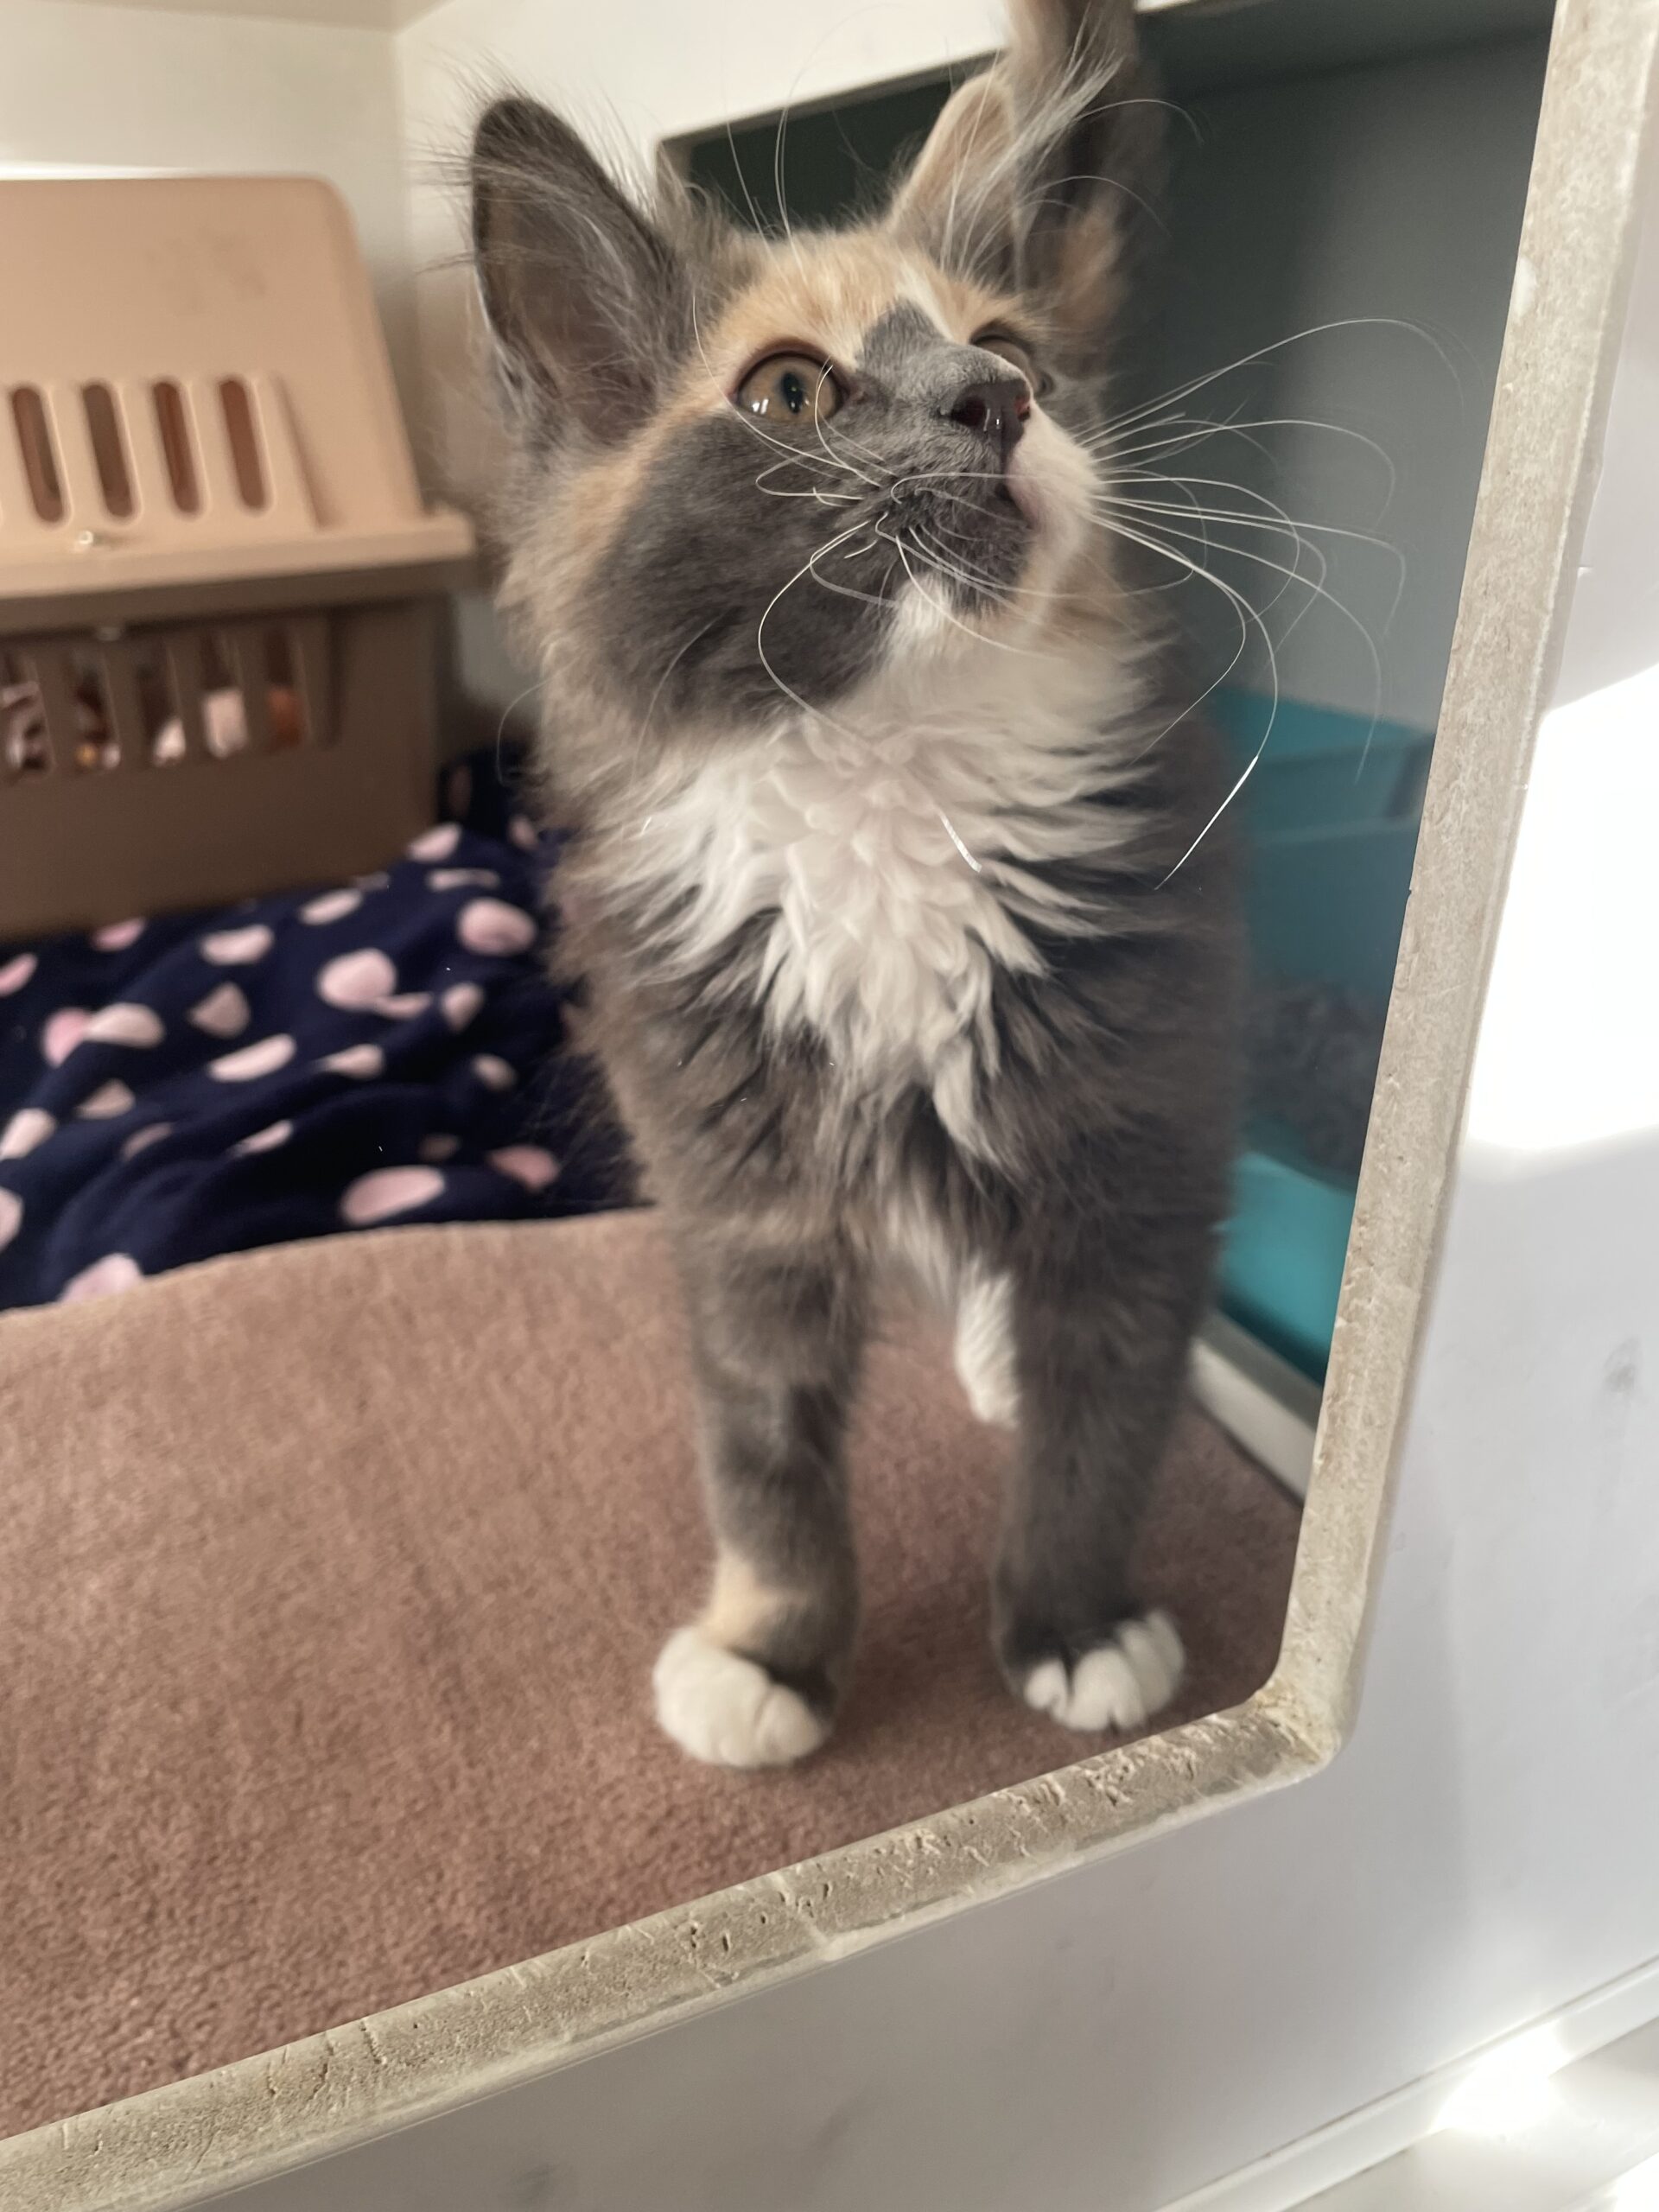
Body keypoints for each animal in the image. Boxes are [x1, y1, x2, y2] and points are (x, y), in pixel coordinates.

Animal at [468, 0, 1240, 1768]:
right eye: (791, 392)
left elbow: (1100, 1433)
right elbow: (764, 1467)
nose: (992, 401)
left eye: (1013, 352)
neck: (895, 772)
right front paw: (768, 1658)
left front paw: (1074, 1628)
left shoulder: (1134, 1142)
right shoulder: (740, 1189)